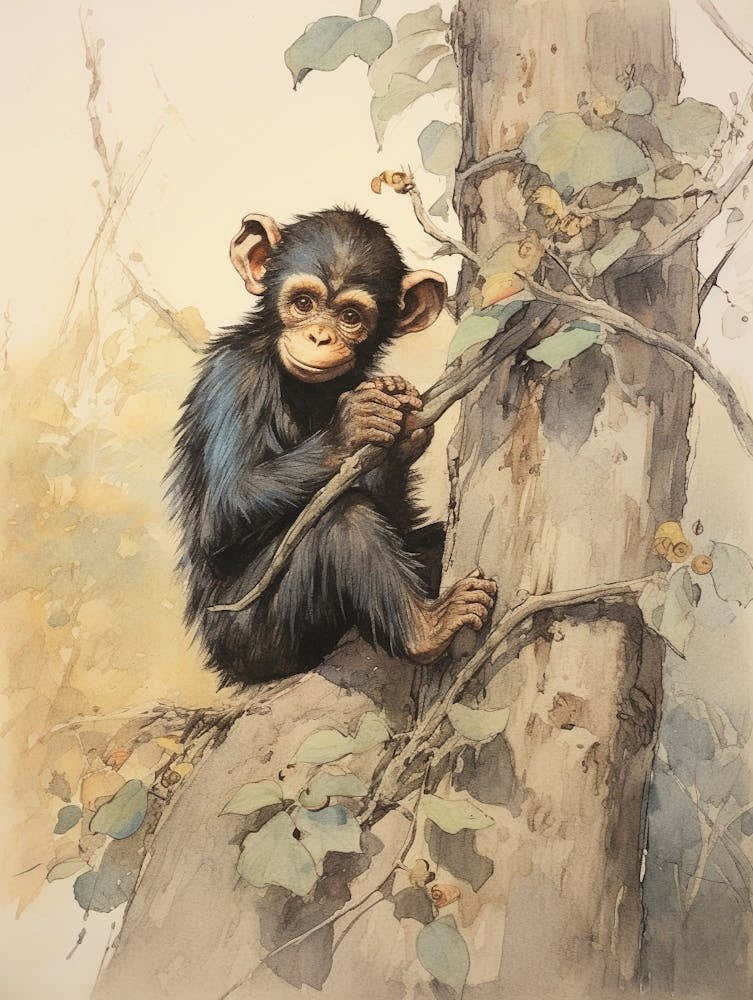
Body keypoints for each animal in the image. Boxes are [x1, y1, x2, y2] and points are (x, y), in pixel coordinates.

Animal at [167, 208, 497, 686]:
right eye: (304, 303)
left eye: (350, 316)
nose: (320, 337)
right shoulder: (235, 378)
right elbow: (227, 503)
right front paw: (353, 424)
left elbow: (396, 510)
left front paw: (402, 421)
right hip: (253, 635)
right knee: (344, 519)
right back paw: (426, 630)